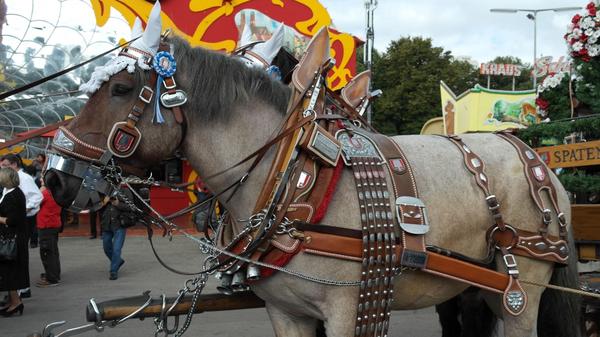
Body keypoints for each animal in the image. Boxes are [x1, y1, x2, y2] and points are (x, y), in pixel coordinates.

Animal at [45, 3, 580, 336]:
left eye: (118, 90)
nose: (55, 174)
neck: (293, 174)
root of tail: (538, 164)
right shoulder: (287, 313)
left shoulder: (349, 308)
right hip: (473, 290)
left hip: (521, 290)